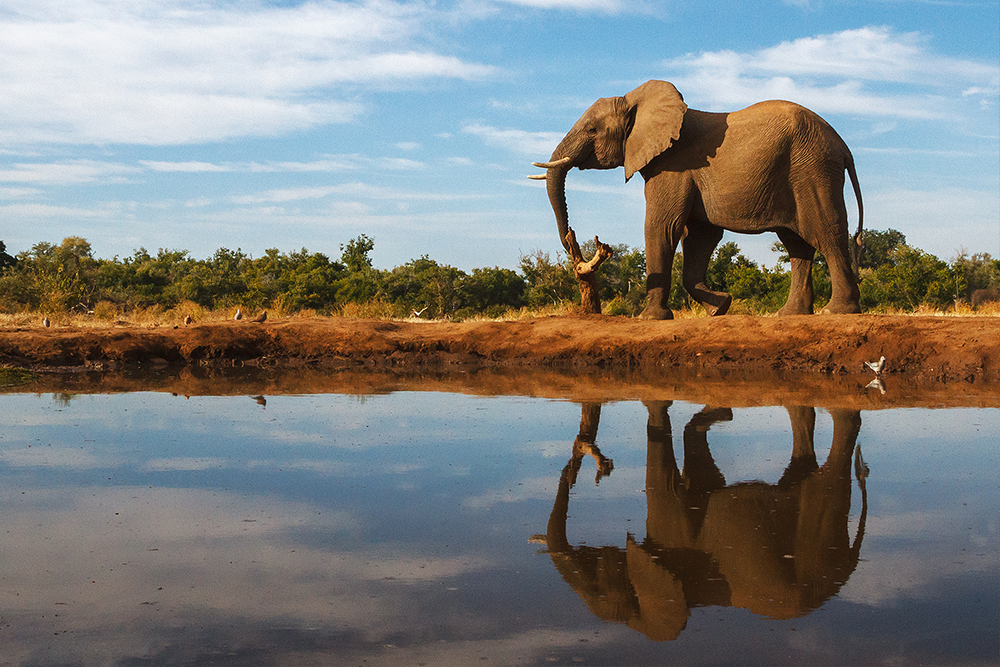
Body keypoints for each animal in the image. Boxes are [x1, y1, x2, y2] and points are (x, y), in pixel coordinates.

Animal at [532, 79, 868, 320]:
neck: (636, 100)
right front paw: (720, 308)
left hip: (812, 169)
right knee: (797, 244)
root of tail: (843, 146)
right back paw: (789, 315)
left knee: (826, 232)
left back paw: (835, 311)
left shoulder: (673, 166)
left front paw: (649, 319)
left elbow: (662, 227)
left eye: (592, 130)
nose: (571, 239)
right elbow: (700, 236)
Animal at [540, 402, 868, 640]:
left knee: (827, 475)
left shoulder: (672, 537)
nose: (590, 464)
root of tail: (847, 567)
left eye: (597, 586)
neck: (642, 620)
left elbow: (665, 479)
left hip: (816, 544)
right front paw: (723, 413)